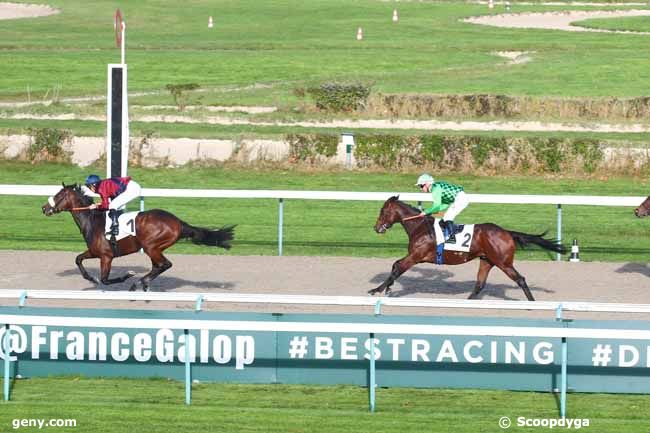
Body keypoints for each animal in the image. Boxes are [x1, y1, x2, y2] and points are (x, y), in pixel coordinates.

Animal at [41, 182, 233, 290]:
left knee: (165, 264)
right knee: (158, 266)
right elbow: (78, 259)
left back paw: (138, 282)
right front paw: (90, 278)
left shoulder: (106, 256)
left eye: (59, 195)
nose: (44, 208)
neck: (92, 220)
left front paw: (127, 275)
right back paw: (143, 283)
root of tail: (179, 222)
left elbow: (105, 280)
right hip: (154, 249)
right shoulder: (95, 252)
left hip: (151, 246)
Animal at [370, 197, 560, 300]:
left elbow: (397, 268)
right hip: (487, 260)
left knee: (520, 279)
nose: (376, 228)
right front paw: (386, 288)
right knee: (480, 284)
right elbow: (395, 265)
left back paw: (532, 302)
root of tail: (506, 232)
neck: (420, 227)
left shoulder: (416, 256)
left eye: (382, 211)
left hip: (503, 263)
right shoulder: (414, 256)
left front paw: (377, 289)